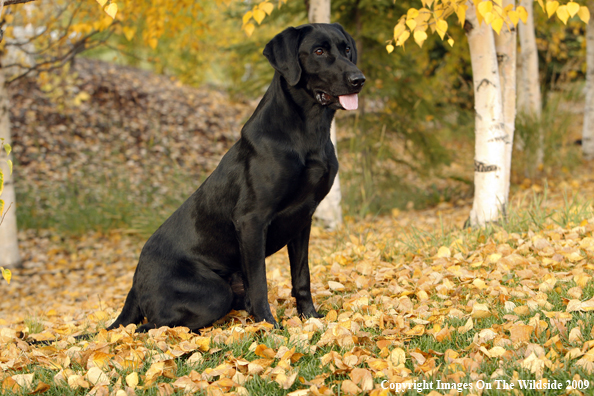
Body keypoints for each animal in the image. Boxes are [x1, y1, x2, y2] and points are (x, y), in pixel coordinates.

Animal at [108, 24, 364, 332]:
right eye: (318, 51)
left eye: (346, 49)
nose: (359, 80)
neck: (309, 131)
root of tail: (134, 285)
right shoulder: (252, 220)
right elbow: (260, 283)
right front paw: (269, 327)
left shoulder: (304, 218)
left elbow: (302, 276)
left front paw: (310, 318)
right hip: (212, 293)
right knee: (148, 327)